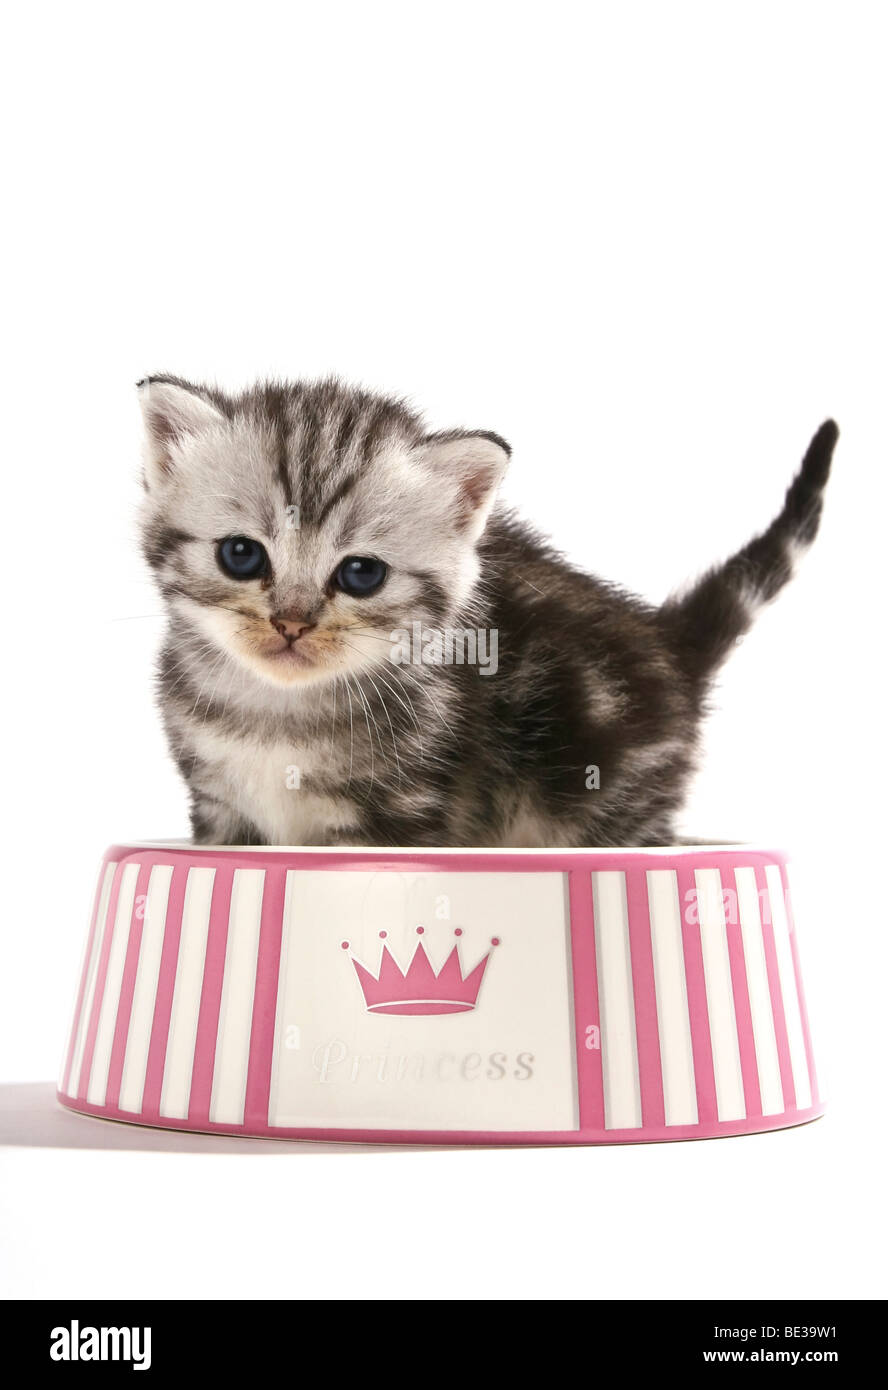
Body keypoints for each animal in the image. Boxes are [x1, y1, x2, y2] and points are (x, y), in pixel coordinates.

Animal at [138, 375, 839, 845]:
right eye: (241, 555)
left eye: (362, 574)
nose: (291, 623)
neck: (276, 714)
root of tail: (668, 641)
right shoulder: (220, 815)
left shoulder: (402, 820)